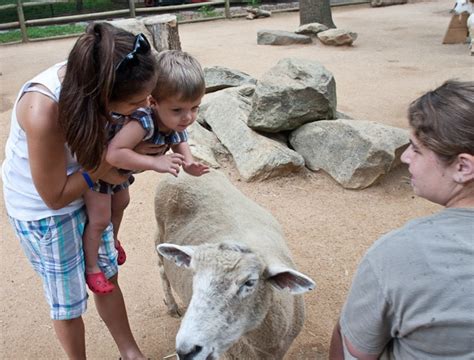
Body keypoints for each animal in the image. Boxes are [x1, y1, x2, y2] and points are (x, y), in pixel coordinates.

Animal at [155, 169, 314, 360]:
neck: (263, 344)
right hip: (159, 233)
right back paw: (172, 306)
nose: (186, 350)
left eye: (250, 282)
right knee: (162, 269)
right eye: (194, 275)